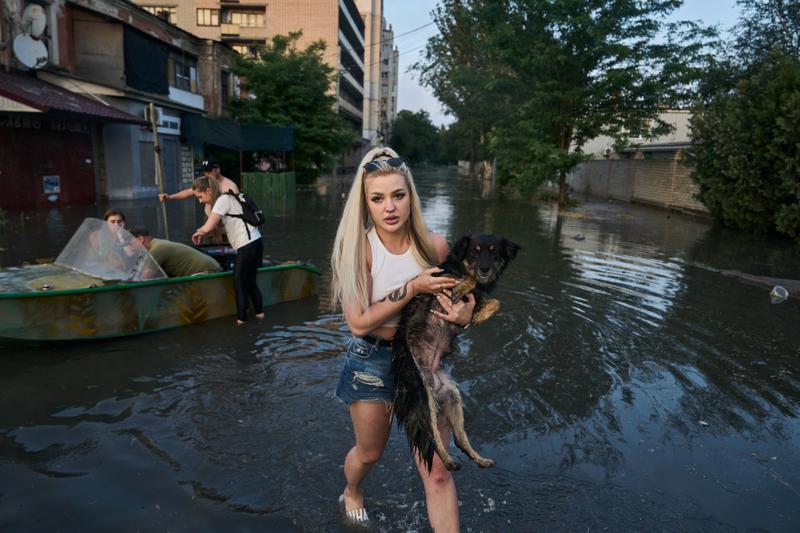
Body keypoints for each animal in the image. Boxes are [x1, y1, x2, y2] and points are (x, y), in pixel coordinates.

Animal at [392, 233, 520, 470]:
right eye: (474, 252)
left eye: (494, 252)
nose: (485, 269)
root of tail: (433, 383)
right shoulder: (437, 281)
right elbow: (466, 281)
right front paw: (463, 287)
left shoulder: (479, 295)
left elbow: (495, 302)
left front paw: (476, 316)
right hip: (423, 398)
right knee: (432, 436)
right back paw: (449, 461)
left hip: (452, 396)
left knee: (460, 439)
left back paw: (479, 459)